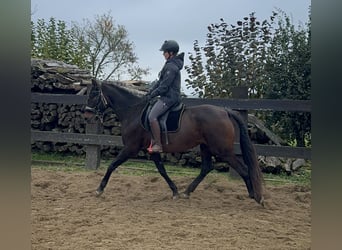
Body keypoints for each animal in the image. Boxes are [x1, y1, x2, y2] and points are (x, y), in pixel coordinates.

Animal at [84, 79, 266, 206]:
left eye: (93, 94)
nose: (87, 116)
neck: (133, 112)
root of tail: (225, 111)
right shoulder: (153, 151)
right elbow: (162, 170)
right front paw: (175, 191)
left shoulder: (131, 148)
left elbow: (111, 165)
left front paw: (99, 189)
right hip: (206, 147)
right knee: (206, 168)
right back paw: (187, 192)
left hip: (222, 150)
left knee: (243, 169)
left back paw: (256, 197)